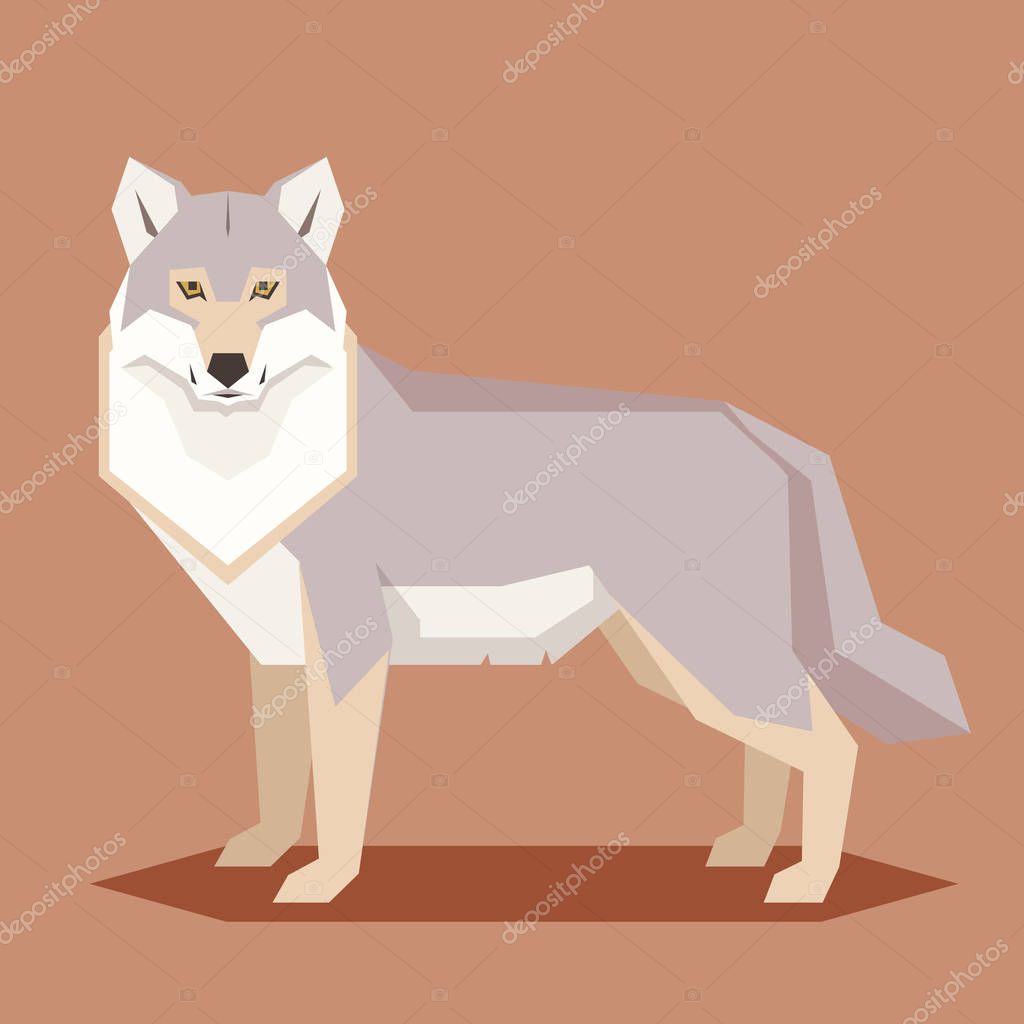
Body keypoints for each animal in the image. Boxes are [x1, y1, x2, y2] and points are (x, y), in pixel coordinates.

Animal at [99, 157, 968, 905]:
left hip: (711, 656)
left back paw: (808, 883)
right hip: (683, 667)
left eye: (267, 289)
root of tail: (757, 428)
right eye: (188, 288)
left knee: (832, 745)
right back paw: (751, 851)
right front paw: (265, 852)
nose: (228, 368)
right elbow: (279, 780)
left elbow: (340, 790)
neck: (239, 468)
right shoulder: (274, 650)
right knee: (778, 746)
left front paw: (323, 882)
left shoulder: (350, 646)